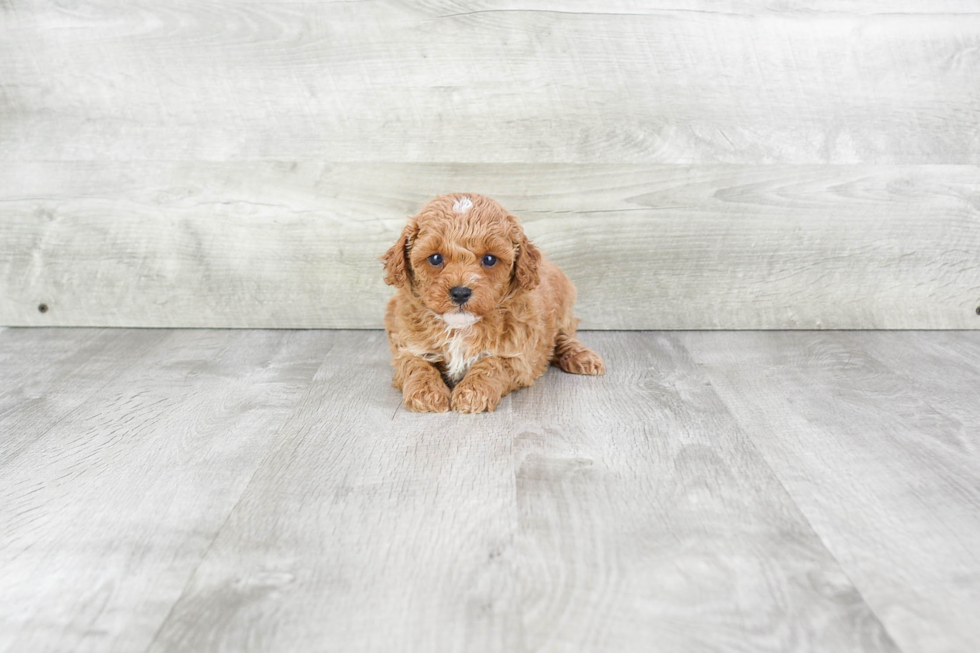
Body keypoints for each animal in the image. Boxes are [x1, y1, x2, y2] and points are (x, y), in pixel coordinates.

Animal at [378, 191, 600, 412]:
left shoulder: (517, 357)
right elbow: (415, 364)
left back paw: (584, 358)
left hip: (563, 311)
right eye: (435, 258)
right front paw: (426, 392)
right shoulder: (407, 345)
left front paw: (473, 392)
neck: (459, 328)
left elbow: (491, 365)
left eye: (490, 259)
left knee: (564, 337)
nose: (460, 293)